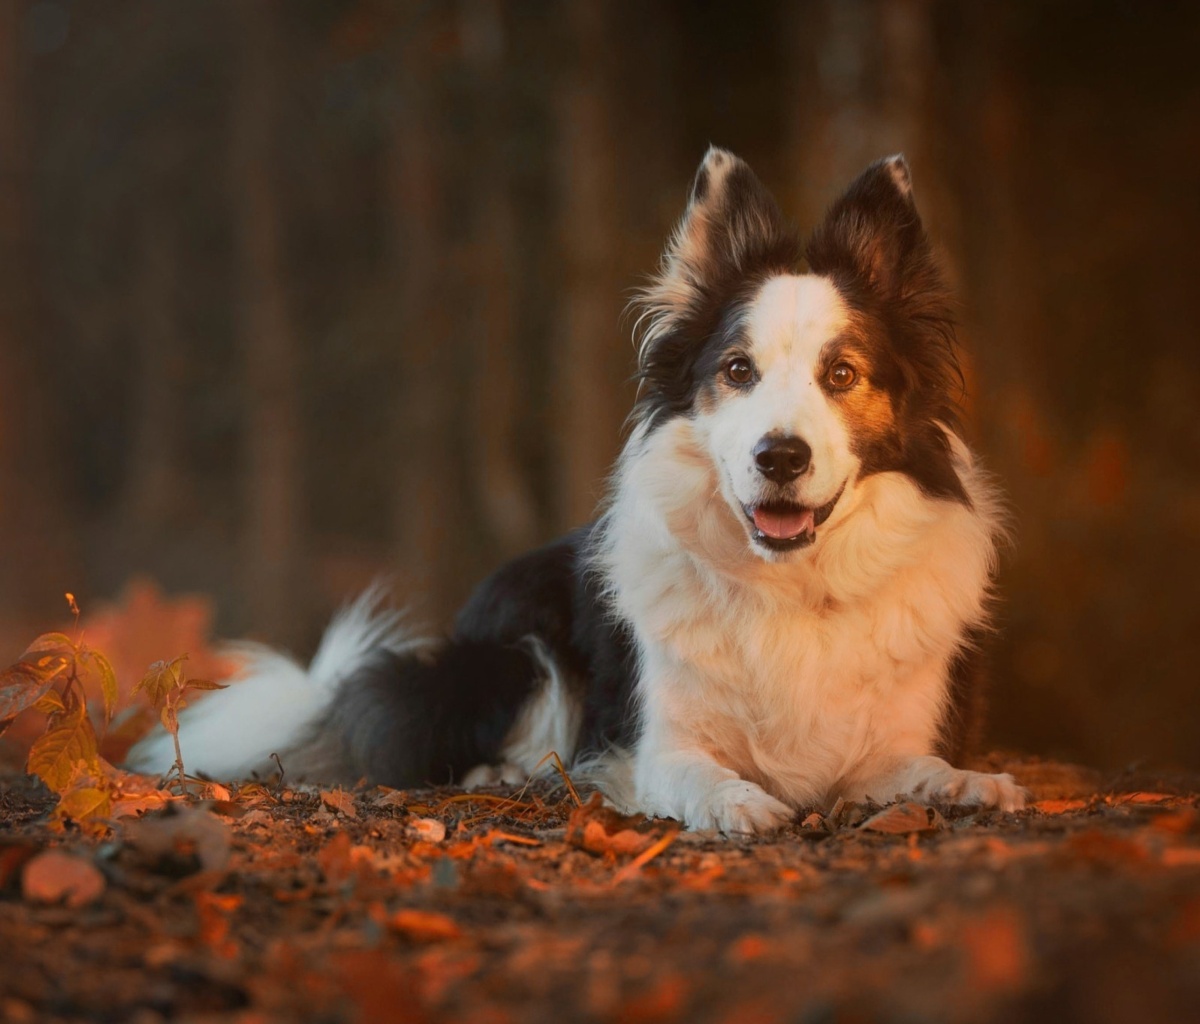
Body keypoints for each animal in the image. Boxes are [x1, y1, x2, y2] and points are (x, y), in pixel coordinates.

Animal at [133, 145, 1032, 830]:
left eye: (841, 374)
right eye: (738, 371)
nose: (780, 457)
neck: (790, 586)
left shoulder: (891, 736)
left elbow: (915, 765)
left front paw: (970, 783)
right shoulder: (654, 740)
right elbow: (694, 773)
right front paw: (740, 802)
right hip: (519, 649)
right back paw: (507, 773)